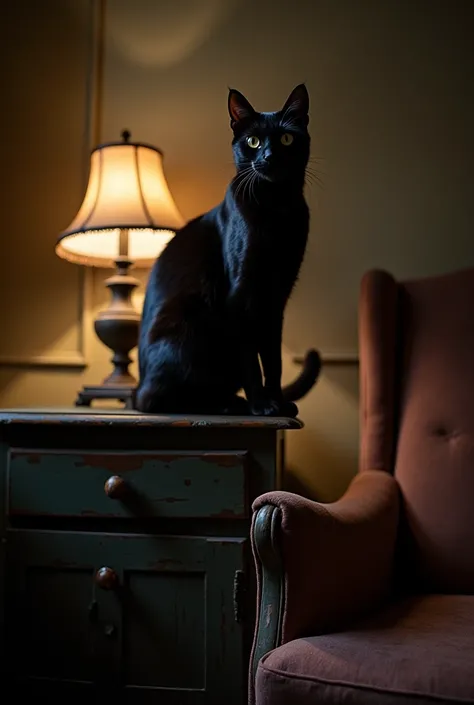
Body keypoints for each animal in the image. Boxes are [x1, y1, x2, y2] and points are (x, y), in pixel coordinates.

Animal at [136, 84, 314, 416]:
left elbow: (273, 361)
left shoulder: (276, 298)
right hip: (189, 321)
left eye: (286, 138)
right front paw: (262, 405)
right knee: (158, 400)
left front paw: (278, 403)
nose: (269, 156)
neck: (277, 207)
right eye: (253, 141)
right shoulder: (240, 296)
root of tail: (136, 387)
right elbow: (251, 360)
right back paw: (230, 405)